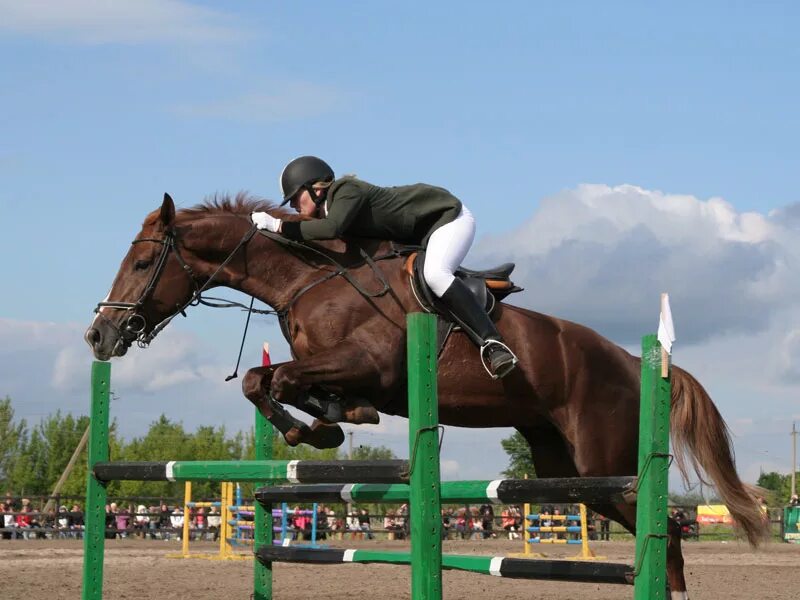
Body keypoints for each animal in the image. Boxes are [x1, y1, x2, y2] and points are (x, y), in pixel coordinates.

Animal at [84, 193, 764, 596]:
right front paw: (323, 422)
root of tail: (638, 360)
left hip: (607, 462)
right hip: (568, 469)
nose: (99, 335)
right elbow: (267, 379)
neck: (310, 278)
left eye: (142, 263)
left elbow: (274, 379)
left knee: (666, 530)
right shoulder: (334, 369)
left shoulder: (369, 365)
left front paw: (317, 425)